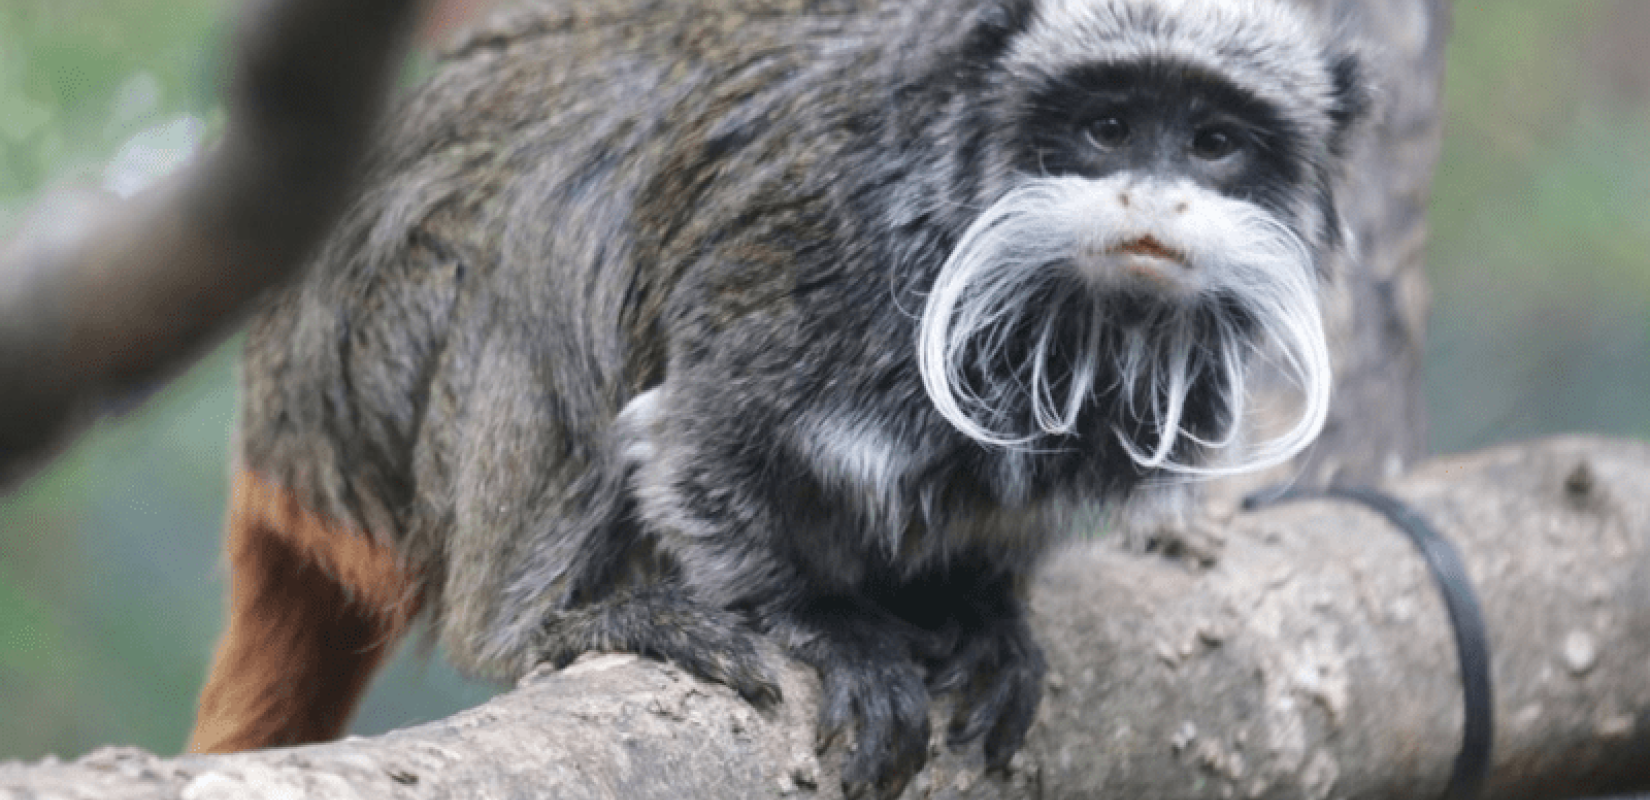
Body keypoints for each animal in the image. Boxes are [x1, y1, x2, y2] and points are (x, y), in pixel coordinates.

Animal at [189, 0, 1366, 795]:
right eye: (1107, 128)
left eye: (1215, 142)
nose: (1156, 200)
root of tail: (272, 432)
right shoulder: (820, 251)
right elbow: (695, 447)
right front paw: (828, 623)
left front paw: (982, 608)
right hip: (362, 368)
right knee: (554, 229)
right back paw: (546, 618)